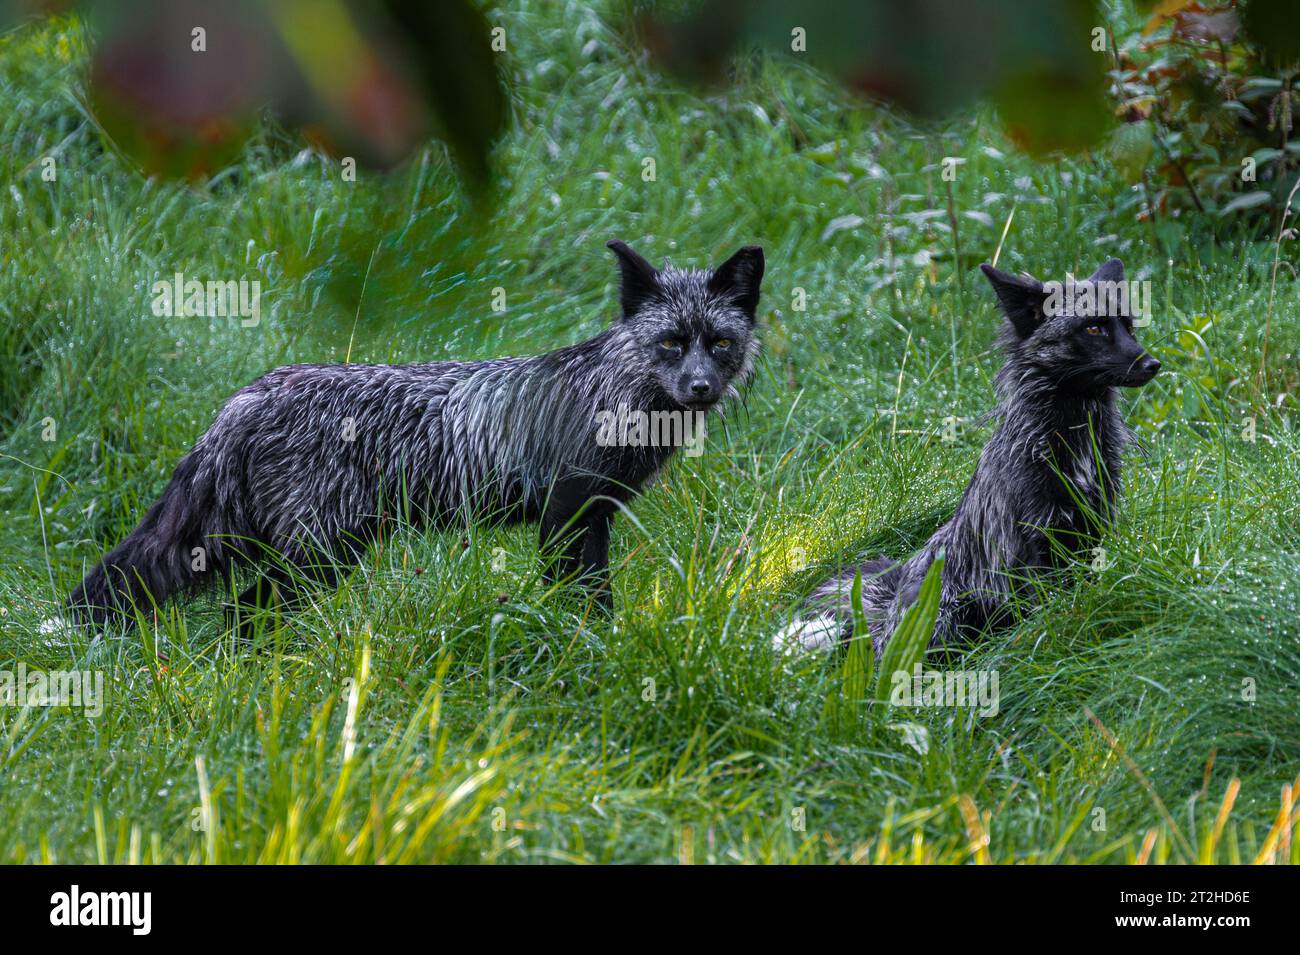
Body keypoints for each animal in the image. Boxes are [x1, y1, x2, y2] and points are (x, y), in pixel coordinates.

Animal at [57, 239, 765, 635]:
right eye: (670, 343)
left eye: (719, 343)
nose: (700, 388)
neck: (612, 394)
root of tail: (248, 396)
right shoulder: (566, 513)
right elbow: (579, 600)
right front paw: (582, 649)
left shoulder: (595, 515)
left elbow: (597, 600)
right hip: (321, 554)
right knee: (242, 612)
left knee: (241, 613)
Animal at [775, 256, 1160, 655]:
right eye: (1094, 328)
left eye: (1129, 327)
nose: (1153, 364)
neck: (1075, 436)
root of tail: (890, 605)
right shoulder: (1038, 535)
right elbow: (1049, 603)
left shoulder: (1096, 520)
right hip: (946, 622)